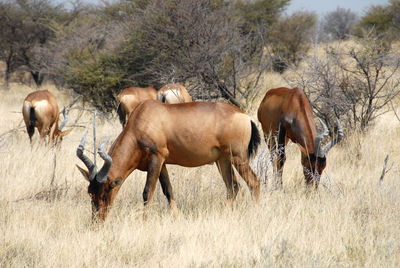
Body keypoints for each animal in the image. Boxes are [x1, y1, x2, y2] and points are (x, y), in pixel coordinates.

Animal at [76, 99, 260, 221]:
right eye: (90, 192)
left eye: (105, 192)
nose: (96, 222)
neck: (143, 118)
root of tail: (244, 116)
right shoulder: (162, 163)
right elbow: (168, 191)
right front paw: (177, 218)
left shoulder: (156, 158)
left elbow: (147, 192)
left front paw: (144, 222)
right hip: (222, 160)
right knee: (233, 187)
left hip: (238, 157)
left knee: (253, 181)